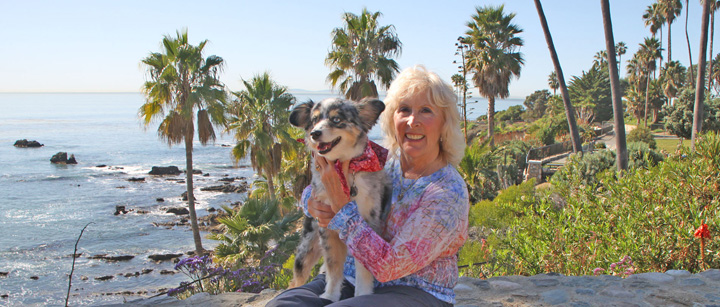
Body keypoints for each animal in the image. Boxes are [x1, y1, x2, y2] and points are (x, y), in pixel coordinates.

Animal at [288, 97, 390, 302]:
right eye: (314, 120)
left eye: (336, 119)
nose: (315, 133)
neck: (344, 168)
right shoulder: (327, 227)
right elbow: (334, 267)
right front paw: (330, 295)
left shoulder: (366, 223)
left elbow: (363, 270)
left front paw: (362, 295)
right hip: (306, 250)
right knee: (297, 280)